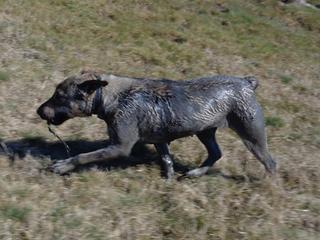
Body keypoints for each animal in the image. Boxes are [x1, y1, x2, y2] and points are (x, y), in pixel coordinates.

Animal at [37, 69, 276, 178]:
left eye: (59, 96)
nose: (38, 111)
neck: (109, 96)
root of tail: (247, 82)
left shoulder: (120, 147)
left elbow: (83, 156)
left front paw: (63, 166)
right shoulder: (160, 140)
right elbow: (167, 159)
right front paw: (168, 179)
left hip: (251, 134)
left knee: (271, 162)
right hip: (205, 131)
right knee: (216, 153)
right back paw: (195, 173)